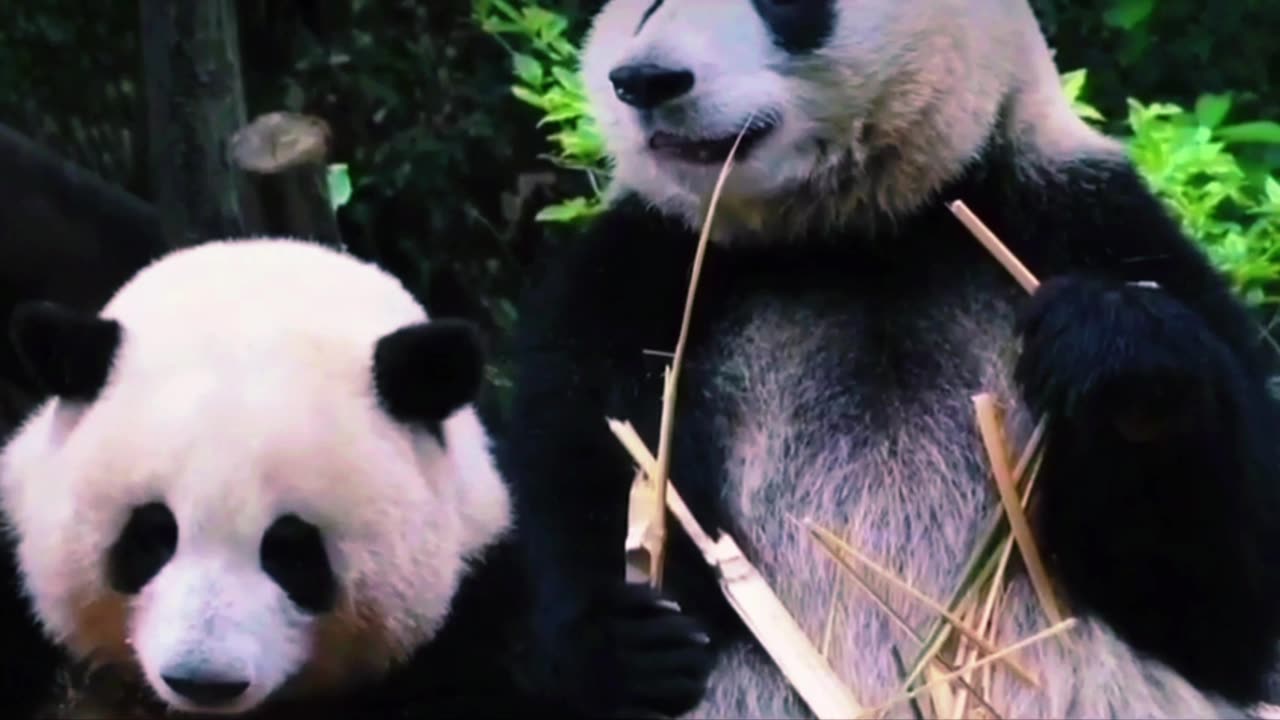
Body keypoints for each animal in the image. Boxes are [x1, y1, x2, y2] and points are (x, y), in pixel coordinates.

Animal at [497, 0, 1280, 718]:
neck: (851, 236)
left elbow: (1222, 604)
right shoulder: (634, 282)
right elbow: (580, 475)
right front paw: (629, 644)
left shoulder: (1078, 218)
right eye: (647, 5)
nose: (645, 80)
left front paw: (1114, 353)